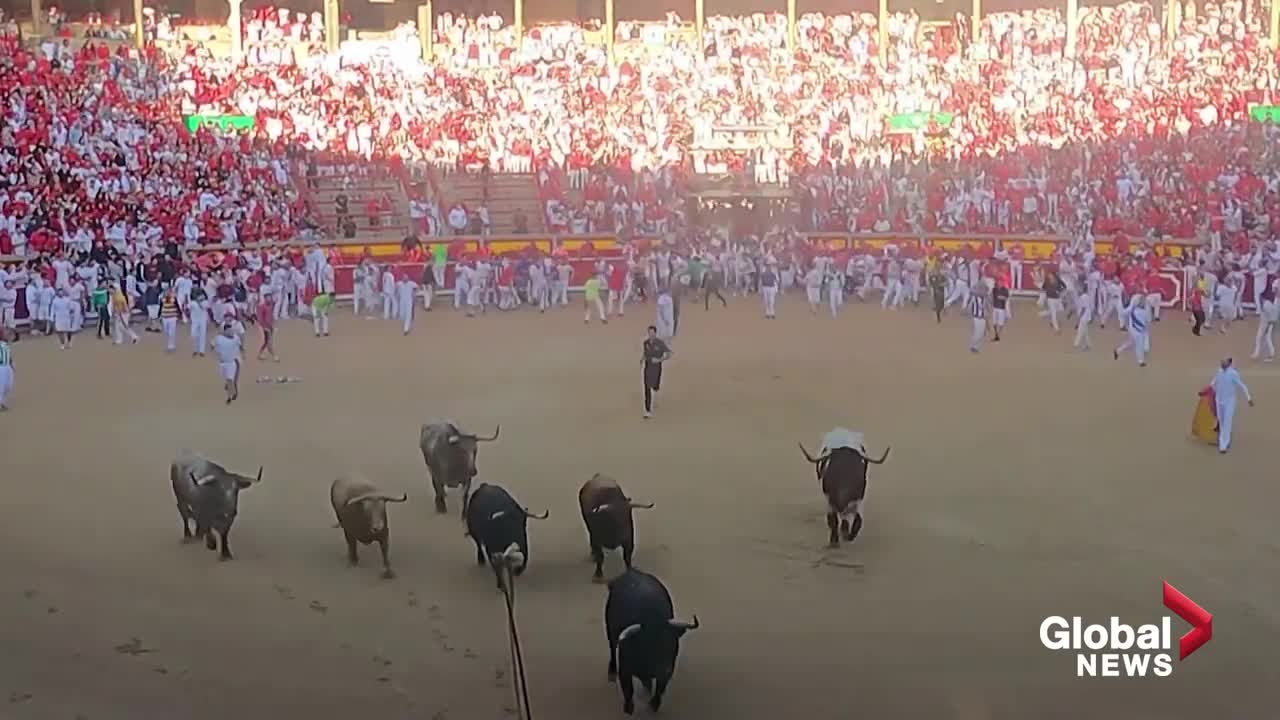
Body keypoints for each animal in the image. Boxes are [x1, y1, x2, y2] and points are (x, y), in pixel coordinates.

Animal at [601, 566, 701, 712]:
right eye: (650, 642)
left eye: (673, 644)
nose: (666, 670)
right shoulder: (625, 670)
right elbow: (628, 691)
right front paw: (629, 708)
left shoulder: (665, 673)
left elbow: (659, 688)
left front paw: (654, 704)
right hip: (610, 630)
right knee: (612, 648)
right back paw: (612, 671)